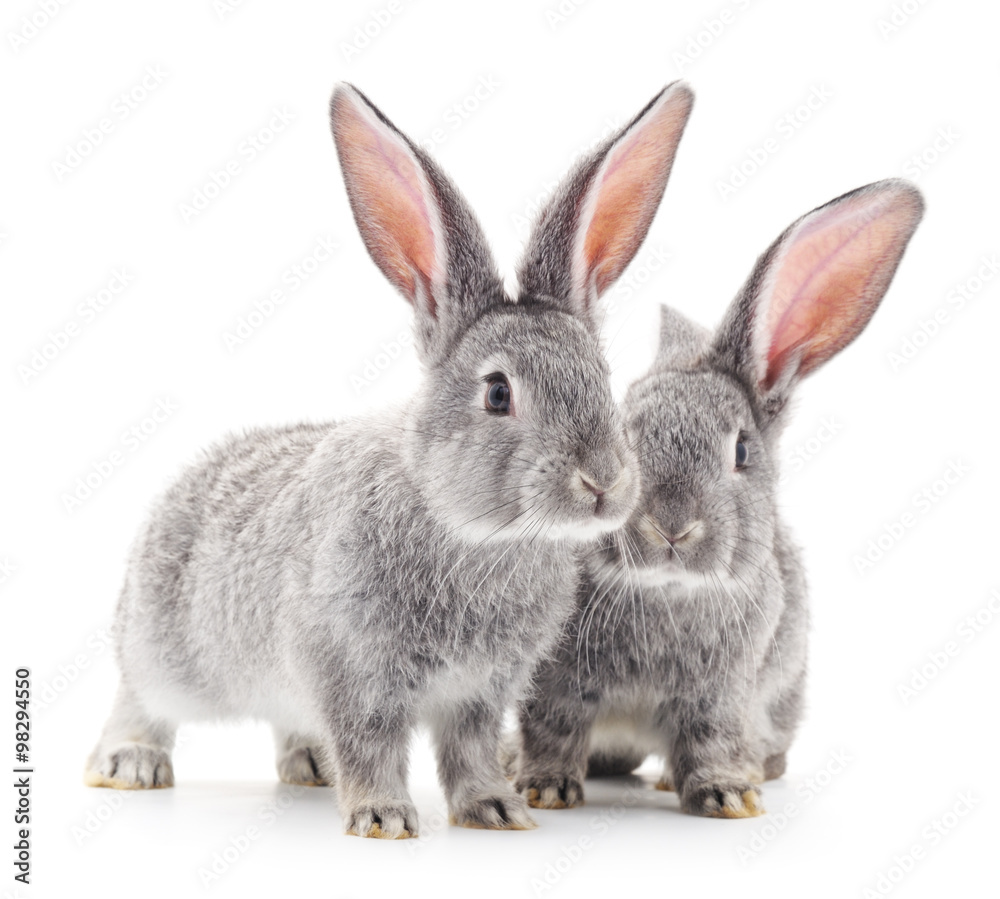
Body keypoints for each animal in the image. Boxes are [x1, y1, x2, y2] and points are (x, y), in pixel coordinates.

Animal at [83, 81, 695, 839]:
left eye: (603, 379)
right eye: (498, 393)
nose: (605, 481)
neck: (475, 531)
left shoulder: (479, 693)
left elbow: (468, 751)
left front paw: (496, 808)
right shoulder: (351, 668)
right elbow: (370, 742)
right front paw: (382, 817)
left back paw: (309, 766)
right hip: (167, 650)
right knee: (139, 694)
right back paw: (130, 762)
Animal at [514, 178, 924, 818]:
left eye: (742, 452)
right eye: (624, 430)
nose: (671, 527)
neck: (667, 592)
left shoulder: (722, 695)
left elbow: (710, 740)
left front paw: (727, 795)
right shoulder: (557, 684)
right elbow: (552, 729)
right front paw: (545, 786)